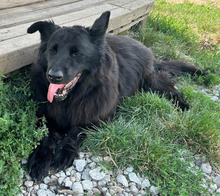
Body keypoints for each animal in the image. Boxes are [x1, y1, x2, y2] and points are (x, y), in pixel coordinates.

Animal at [26, 10, 202, 179]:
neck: (75, 96)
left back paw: (183, 105)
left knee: (171, 88)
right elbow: (45, 135)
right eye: (52, 51)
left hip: (151, 83)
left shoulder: (97, 117)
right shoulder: (44, 114)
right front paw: (40, 158)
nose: (53, 76)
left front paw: (65, 151)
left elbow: (76, 132)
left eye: (76, 53)